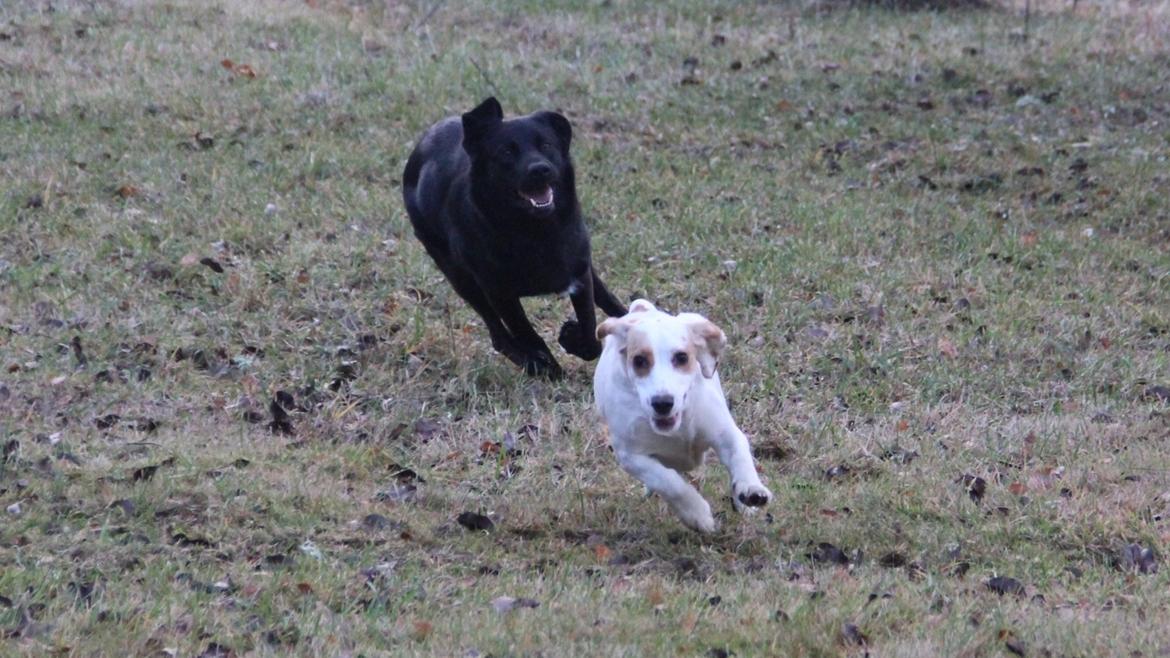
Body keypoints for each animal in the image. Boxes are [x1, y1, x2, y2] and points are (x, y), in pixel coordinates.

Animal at [402, 94, 627, 377]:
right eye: (506, 152)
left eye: (546, 144)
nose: (540, 169)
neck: (533, 231)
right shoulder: (500, 293)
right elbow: (528, 335)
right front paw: (549, 369)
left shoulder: (579, 274)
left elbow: (589, 330)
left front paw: (572, 338)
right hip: (461, 277)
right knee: (497, 335)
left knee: (607, 299)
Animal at [589, 299, 772, 529]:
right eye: (639, 360)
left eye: (682, 357)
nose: (662, 403)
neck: (678, 427)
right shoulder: (630, 456)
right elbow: (669, 483)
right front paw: (697, 514)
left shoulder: (726, 434)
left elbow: (740, 457)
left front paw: (750, 490)